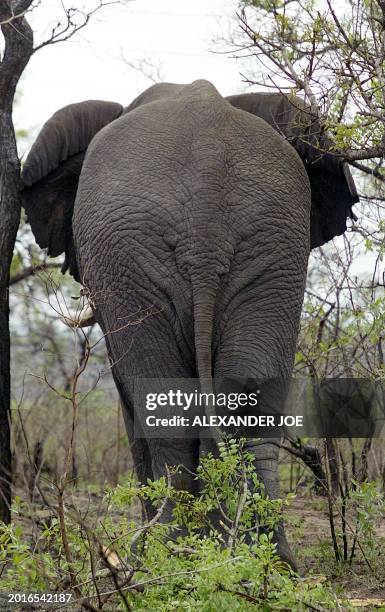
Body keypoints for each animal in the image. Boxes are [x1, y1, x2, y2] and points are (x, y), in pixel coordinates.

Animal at [20, 77, 356, 568]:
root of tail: (208, 177)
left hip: (128, 253)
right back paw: (269, 562)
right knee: (249, 395)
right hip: (275, 242)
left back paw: (160, 556)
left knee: (164, 408)